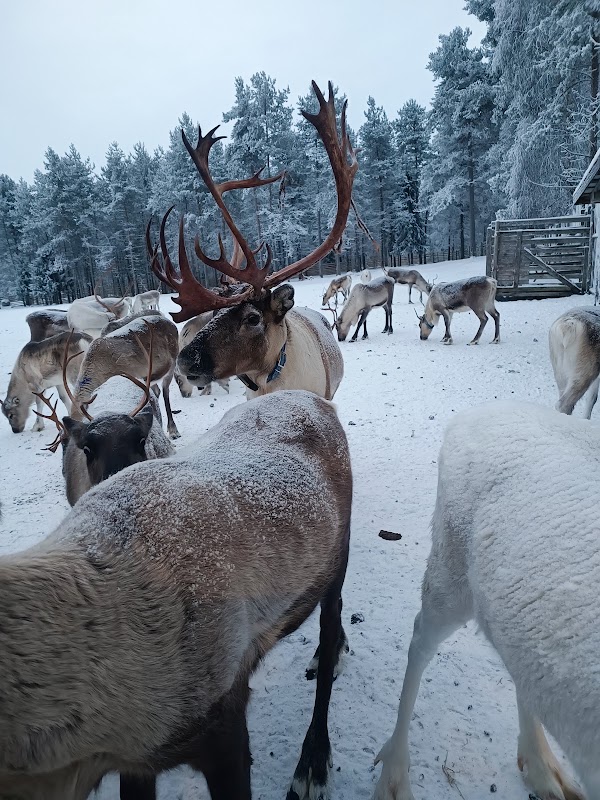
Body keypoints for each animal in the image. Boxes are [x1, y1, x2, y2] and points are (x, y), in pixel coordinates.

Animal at [0, 388, 352, 800]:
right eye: (86, 447)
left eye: (138, 441)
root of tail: (315, 399)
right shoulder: (136, 760)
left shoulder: (222, 720)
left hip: (336, 556)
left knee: (330, 626)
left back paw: (314, 759)